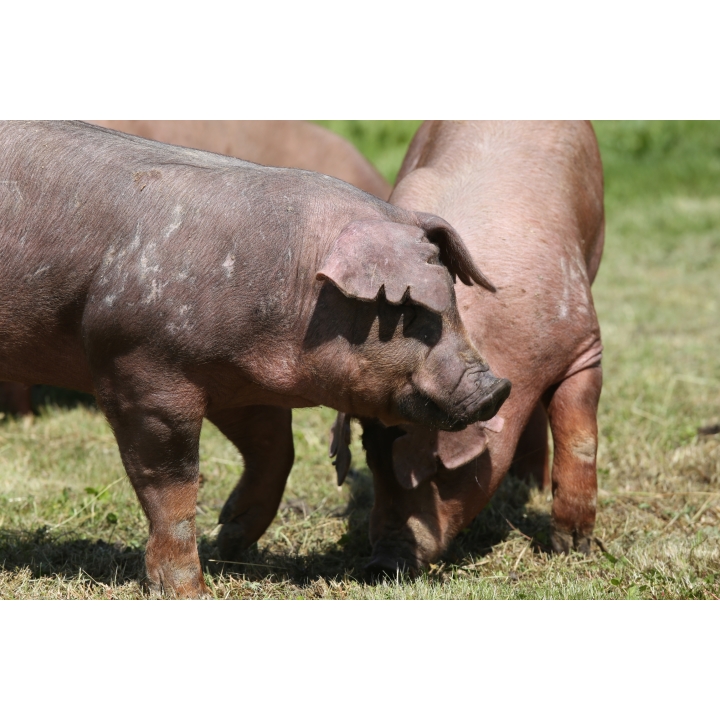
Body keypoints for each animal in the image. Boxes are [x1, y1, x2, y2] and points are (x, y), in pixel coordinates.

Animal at [332, 121, 604, 574]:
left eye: (439, 469)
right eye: (371, 458)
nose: (382, 563)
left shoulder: (584, 341)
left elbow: (578, 433)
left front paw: (572, 548)